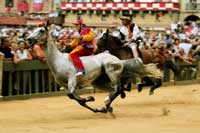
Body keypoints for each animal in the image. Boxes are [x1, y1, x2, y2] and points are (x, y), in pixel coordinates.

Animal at [26, 25, 162, 113]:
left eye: (41, 30)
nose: (28, 39)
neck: (58, 60)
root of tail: (119, 60)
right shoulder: (64, 85)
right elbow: (75, 98)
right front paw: (92, 103)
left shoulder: (72, 80)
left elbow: (72, 95)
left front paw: (90, 98)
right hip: (98, 81)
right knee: (114, 90)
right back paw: (106, 106)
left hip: (110, 71)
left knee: (118, 88)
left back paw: (107, 104)